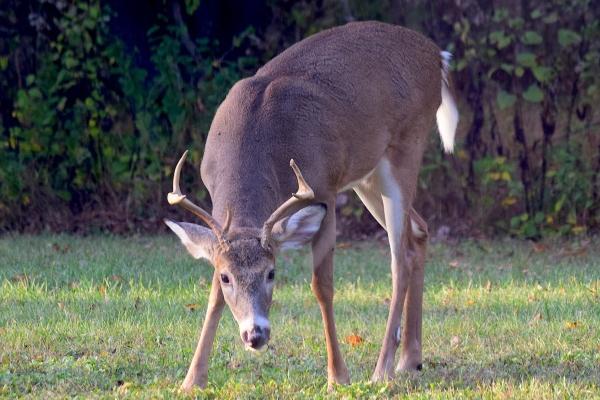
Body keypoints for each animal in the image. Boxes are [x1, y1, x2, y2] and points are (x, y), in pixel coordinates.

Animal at [162, 20, 458, 392]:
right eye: (227, 276)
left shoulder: (325, 189)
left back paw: (382, 369)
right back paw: (410, 360)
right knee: (419, 232)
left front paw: (338, 376)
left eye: (272, 273)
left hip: (406, 146)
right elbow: (213, 294)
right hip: (367, 175)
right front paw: (192, 379)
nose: (255, 335)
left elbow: (322, 286)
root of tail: (437, 56)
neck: (259, 140)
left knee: (399, 258)